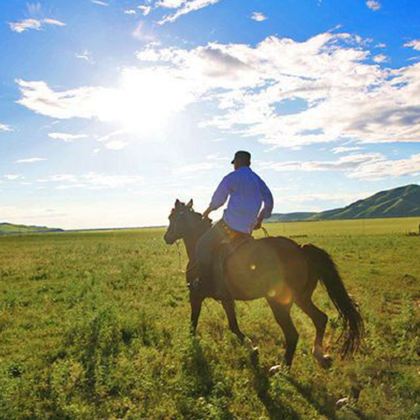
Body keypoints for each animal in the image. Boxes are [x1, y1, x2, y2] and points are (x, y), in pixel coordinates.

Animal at [164, 199, 364, 368]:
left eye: (172, 217)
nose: (166, 237)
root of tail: (301, 249)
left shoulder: (197, 295)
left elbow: (199, 323)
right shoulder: (225, 299)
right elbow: (228, 325)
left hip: (279, 303)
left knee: (293, 334)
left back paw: (283, 368)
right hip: (302, 298)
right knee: (320, 319)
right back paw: (319, 355)